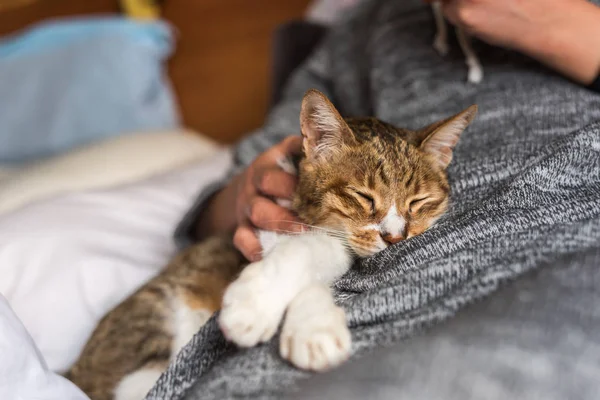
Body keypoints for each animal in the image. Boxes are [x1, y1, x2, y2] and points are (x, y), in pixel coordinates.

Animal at [65, 90, 478, 400]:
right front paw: (259, 307)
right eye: (362, 196)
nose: (395, 237)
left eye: (419, 202)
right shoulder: (267, 228)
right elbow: (304, 251)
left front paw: (312, 327)